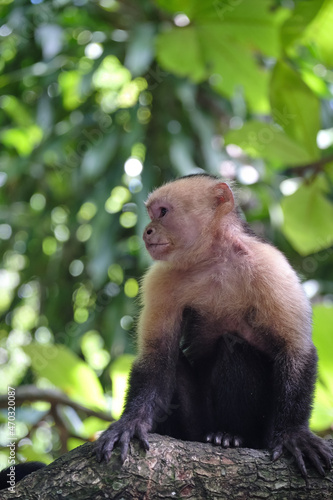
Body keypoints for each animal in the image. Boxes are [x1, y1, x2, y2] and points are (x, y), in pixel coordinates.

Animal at [97, 174, 322, 478]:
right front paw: (132, 422)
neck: (213, 259)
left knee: (234, 347)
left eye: (163, 212)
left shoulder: (271, 265)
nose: (147, 231)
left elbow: (295, 349)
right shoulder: (160, 278)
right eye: (152, 215)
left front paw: (293, 434)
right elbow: (156, 356)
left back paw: (230, 435)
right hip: (196, 425)